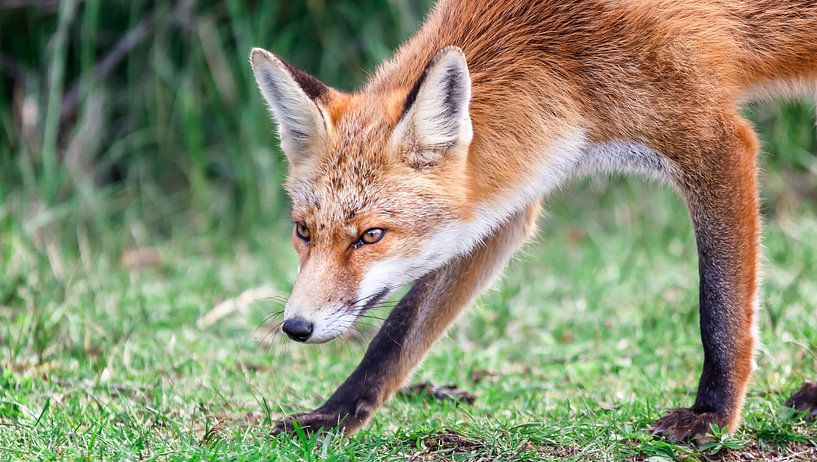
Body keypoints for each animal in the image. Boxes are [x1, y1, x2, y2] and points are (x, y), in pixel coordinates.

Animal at [248, 0, 817, 442]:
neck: (564, 59)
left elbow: (719, 310)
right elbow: (396, 335)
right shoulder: (506, 202)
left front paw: (711, 415)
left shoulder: (715, 141)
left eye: (371, 235)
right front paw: (334, 414)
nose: (295, 326)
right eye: (303, 231)